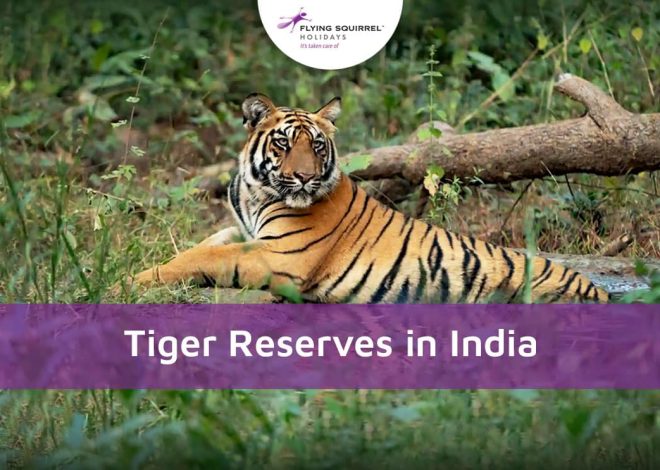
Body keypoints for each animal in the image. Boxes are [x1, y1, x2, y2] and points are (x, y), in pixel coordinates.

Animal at [131, 93, 610, 303]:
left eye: (317, 146)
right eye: (283, 144)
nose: (305, 177)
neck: (255, 191)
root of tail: (599, 291)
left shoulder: (281, 256)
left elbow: (204, 259)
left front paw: (133, 281)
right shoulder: (240, 230)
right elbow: (199, 248)